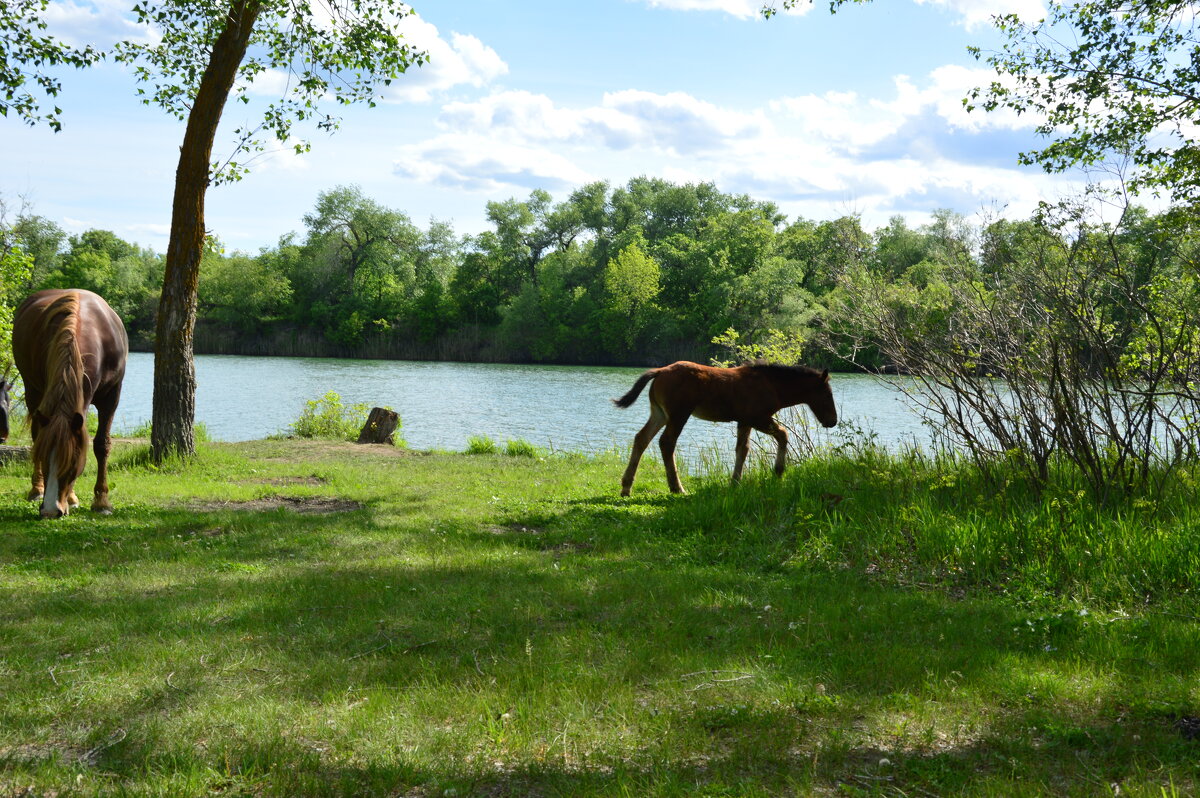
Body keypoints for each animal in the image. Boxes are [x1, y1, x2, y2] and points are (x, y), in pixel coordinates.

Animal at [12, 288, 127, 516]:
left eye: (72, 460)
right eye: (44, 457)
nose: (50, 510)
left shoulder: (111, 398)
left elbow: (101, 444)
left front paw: (102, 502)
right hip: (33, 392)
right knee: (36, 433)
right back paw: (37, 490)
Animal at [614, 360, 840, 494]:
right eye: (827, 394)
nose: (832, 420)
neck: (773, 386)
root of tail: (660, 371)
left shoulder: (745, 421)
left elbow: (743, 449)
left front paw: (735, 482)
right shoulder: (757, 417)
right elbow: (783, 434)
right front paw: (778, 470)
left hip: (659, 413)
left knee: (642, 438)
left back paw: (626, 486)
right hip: (678, 414)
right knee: (666, 443)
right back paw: (677, 487)